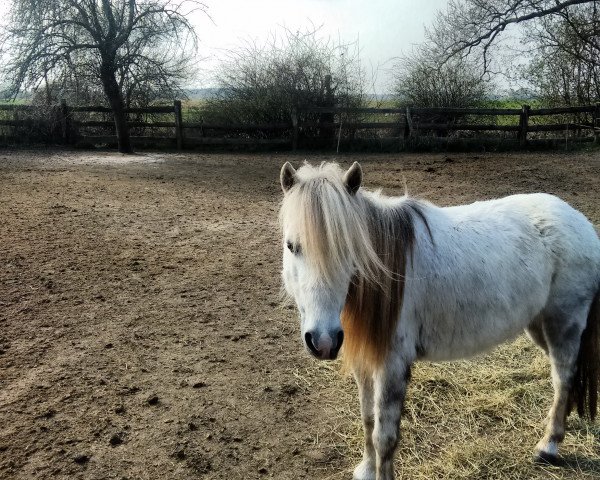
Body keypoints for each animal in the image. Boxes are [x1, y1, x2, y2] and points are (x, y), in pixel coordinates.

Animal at [278, 162, 600, 480]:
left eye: (349, 249)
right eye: (291, 246)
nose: (323, 341)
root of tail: (579, 221)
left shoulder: (392, 365)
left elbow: (385, 436)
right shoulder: (365, 361)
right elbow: (368, 418)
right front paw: (367, 469)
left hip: (563, 325)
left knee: (563, 378)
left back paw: (549, 446)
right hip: (539, 326)